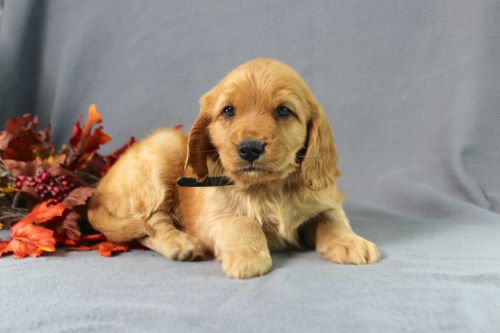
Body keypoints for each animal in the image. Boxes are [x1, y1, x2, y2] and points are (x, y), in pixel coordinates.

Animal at [88, 57, 380, 278]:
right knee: (149, 224)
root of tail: (97, 192)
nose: (249, 148)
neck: (270, 188)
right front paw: (247, 256)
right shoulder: (212, 216)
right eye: (228, 111)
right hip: (162, 152)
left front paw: (351, 242)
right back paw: (181, 243)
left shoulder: (324, 200)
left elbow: (332, 219)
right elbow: (242, 221)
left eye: (283, 111)